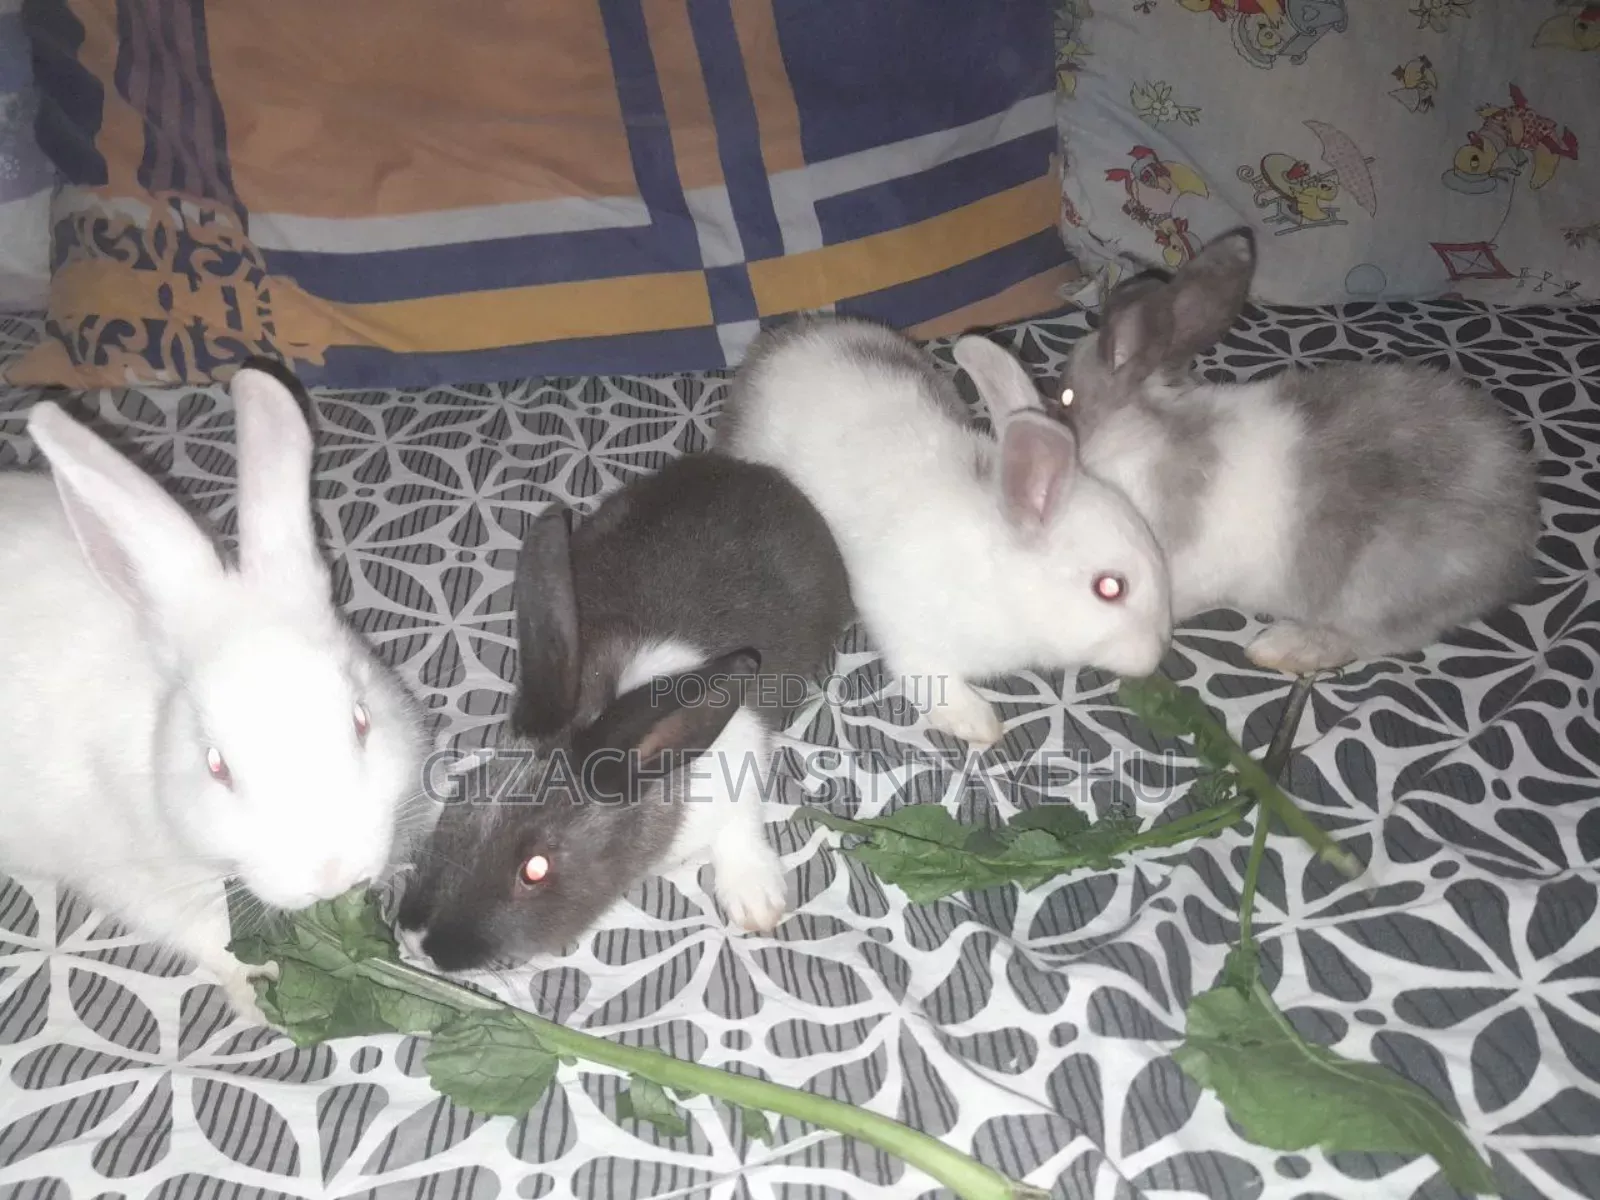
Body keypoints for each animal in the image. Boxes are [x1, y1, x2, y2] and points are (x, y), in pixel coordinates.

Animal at [0, 361, 428, 1025]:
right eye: (215, 765)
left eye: (361, 721)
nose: (333, 874)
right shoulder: (136, 877)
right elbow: (206, 934)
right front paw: (258, 989)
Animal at [393, 449, 852, 973]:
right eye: (459, 802)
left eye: (536, 870)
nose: (417, 941)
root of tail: (746, 468)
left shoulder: (741, 759)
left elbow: (741, 825)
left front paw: (757, 902)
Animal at [712, 314, 1172, 751]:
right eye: (1110, 587)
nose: (1155, 655)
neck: (999, 579)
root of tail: (777, 343)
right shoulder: (904, 628)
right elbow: (929, 677)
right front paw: (977, 723)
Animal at [966, 226, 1540, 676]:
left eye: (1065, 398)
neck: (1134, 429)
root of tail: (1515, 537)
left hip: (1376, 590)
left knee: (1376, 638)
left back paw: (1283, 648)